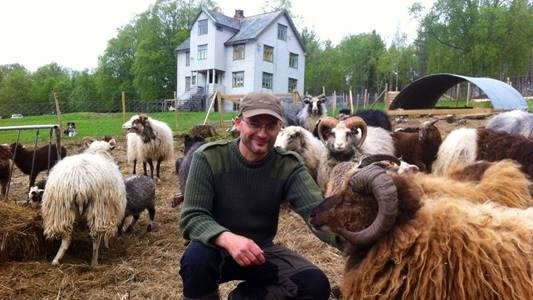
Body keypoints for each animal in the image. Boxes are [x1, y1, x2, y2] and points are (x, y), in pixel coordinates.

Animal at [41, 139, 126, 268]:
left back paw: (56, 260)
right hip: (99, 209)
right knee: (95, 238)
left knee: (66, 239)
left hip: (61, 212)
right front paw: (107, 245)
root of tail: (80, 184)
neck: (99, 153)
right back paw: (94, 262)